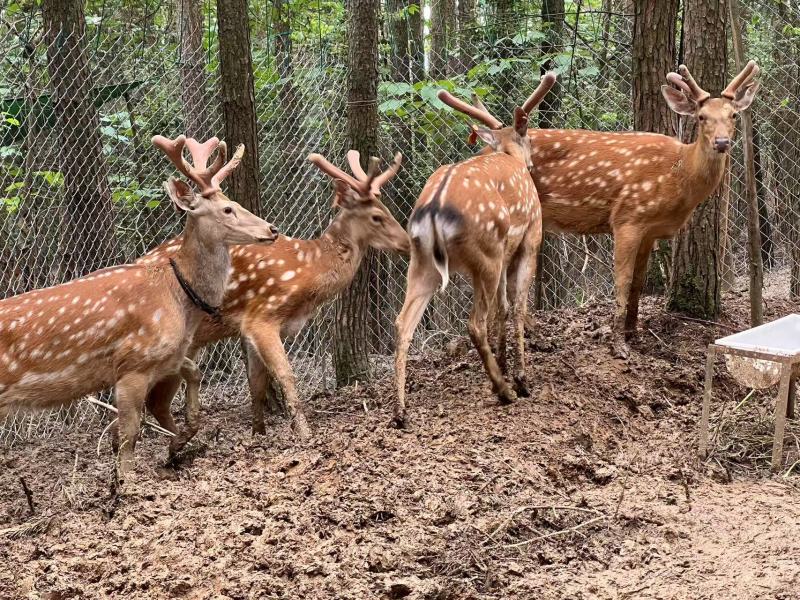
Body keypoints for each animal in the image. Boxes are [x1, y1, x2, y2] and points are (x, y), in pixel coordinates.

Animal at [0, 135, 278, 476]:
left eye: (237, 203)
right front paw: (128, 481)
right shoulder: (132, 362)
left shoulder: (164, 355)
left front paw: (180, 441)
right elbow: (130, 433)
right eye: (227, 209)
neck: (176, 295)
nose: (271, 229)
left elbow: (192, 373)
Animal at [136, 150, 409, 441]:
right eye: (377, 216)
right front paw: (304, 432)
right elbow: (286, 374)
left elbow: (256, 384)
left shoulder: (247, 326)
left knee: (160, 397)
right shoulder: (263, 315)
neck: (308, 269)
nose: (407, 243)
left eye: (387, 209)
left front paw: (258, 434)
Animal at [392, 72, 556, 428]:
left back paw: (399, 411)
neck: (507, 154)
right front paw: (520, 378)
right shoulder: (529, 238)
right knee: (474, 323)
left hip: (423, 261)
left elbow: (503, 308)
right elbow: (517, 306)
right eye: (529, 139)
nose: (532, 162)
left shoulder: (505, 254)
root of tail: (434, 210)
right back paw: (504, 391)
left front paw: (505, 364)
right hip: (487, 252)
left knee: (402, 323)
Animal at [448, 61, 761, 357]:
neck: (677, 176)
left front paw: (634, 334)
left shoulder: (650, 231)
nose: (722, 142)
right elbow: (622, 281)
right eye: (701, 116)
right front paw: (618, 343)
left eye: (734, 115)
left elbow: (638, 283)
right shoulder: (627, 217)